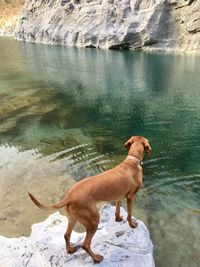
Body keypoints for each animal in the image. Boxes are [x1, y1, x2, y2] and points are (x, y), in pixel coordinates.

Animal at [27, 136, 150, 264]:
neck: (132, 162)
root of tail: (69, 196)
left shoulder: (118, 196)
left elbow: (117, 209)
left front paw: (118, 219)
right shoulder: (131, 196)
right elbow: (130, 214)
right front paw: (132, 225)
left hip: (74, 217)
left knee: (66, 235)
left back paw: (70, 250)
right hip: (93, 219)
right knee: (85, 244)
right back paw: (96, 258)